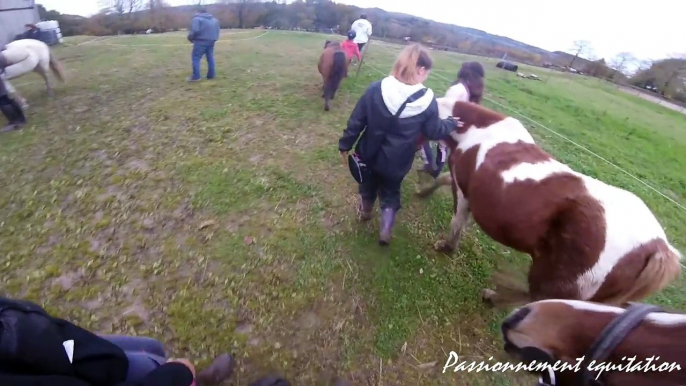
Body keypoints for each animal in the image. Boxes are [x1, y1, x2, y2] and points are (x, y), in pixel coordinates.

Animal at [430, 99, 684, 308]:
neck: (479, 132)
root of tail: (657, 247)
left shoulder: (463, 189)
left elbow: (457, 219)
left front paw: (446, 246)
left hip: (555, 281)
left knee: (537, 299)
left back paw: (492, 297)